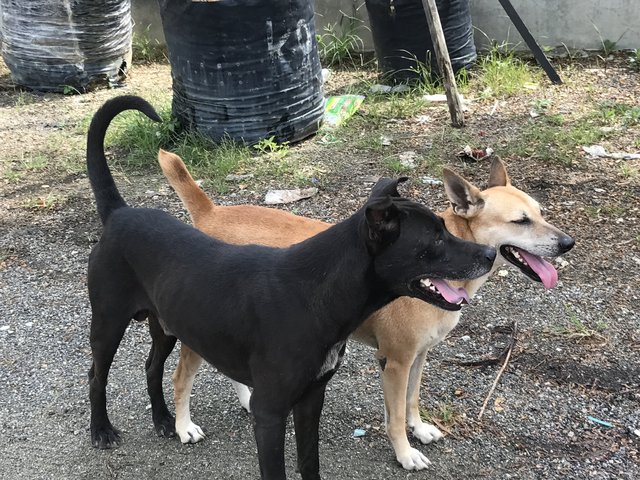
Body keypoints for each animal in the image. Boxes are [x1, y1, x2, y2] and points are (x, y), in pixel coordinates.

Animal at [86, 95, 496, 478]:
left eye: (445, 227)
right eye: (436, 238)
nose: (490, 254)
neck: (314, 294)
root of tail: (121, 213)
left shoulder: (312, 397)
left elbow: (309, 461)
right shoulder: (270, 413)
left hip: (166, 327)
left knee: (152, 367)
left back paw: (163, 421)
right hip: (108, 325)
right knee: (97, 375)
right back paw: (102, 430)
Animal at [158, 150, 572, 468]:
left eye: (541, 212)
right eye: (520, 221)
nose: (568, 243)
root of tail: (211, 212)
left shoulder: (419, 357)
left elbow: (412, 400)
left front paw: (420, 429)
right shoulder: (396, 362)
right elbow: (395, 416)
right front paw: (405, 453)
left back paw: (246, 399)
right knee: (180, 379)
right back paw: (183, 426)